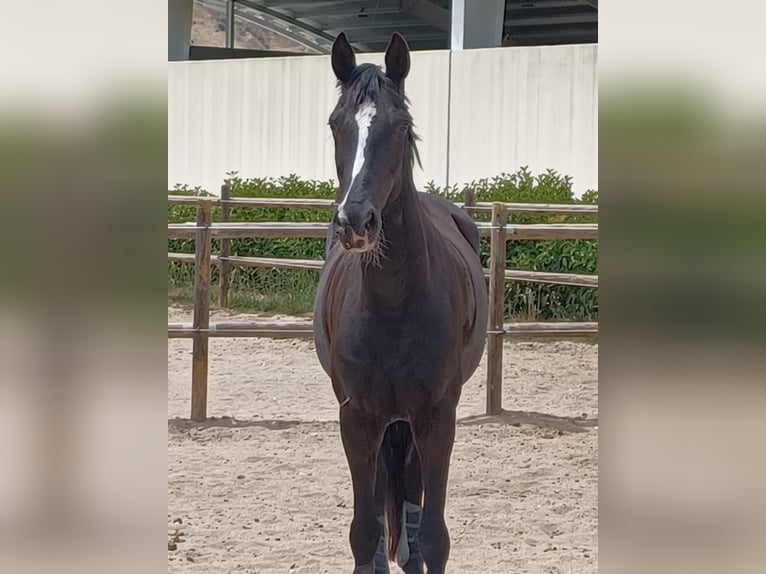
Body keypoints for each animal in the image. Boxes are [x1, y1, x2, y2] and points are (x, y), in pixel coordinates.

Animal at [314, 32, 488, 574]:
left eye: (401, 126)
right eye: (336, 123)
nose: (355, 221)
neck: (392, 305)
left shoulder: (438, 418)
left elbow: (432, 538)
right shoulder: (355, 419)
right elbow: (364, 535)